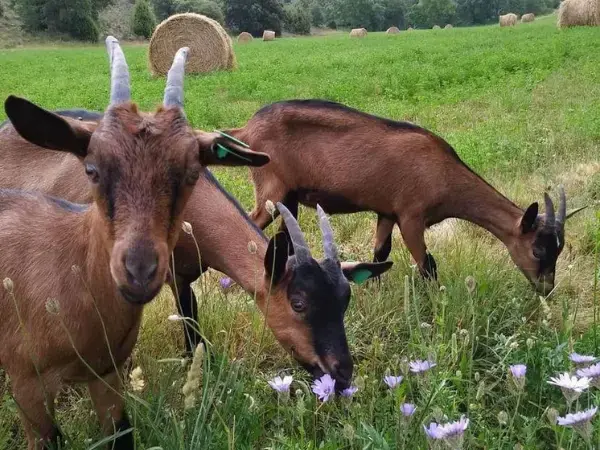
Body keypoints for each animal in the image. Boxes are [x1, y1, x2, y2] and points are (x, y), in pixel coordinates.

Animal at [224, 100, 584, 294]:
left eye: (559, 249)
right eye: (537, 250)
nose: (546, 289)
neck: (444, 172)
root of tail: (246, 130)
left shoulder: (388, 211)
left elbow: (380, 254)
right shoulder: (412, 216)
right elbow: (428, 265)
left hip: (289, 198)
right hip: (270, 187)